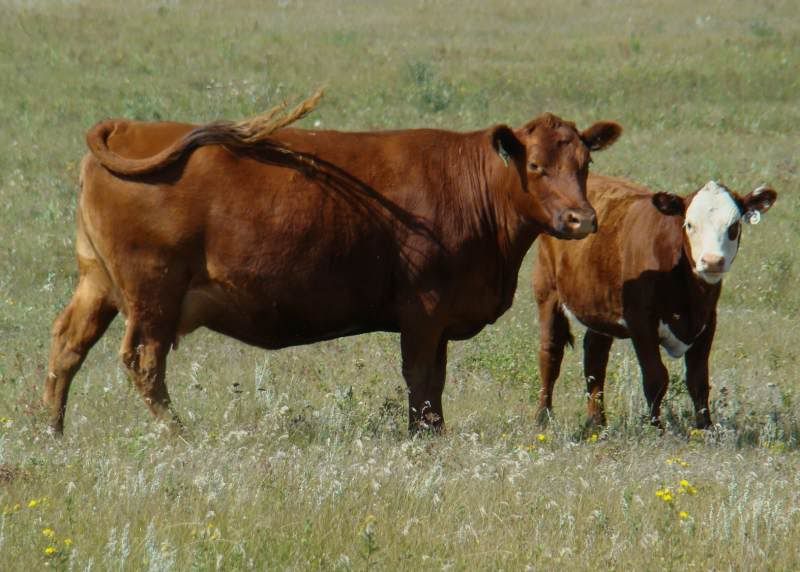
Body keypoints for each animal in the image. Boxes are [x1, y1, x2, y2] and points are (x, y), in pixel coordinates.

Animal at [43, 91, 622, 434]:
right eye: (537, 166)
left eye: (584, 162)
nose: (580, 219)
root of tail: (126, 127)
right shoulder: (423, 309)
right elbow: (421, 380)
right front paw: (424, 439)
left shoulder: (438, 318)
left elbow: (432, 383)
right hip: (153, 292)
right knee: (144, 361)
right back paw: (178, 434)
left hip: (98, 283)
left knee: (67, 344)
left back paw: (52, 429)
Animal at [533, 175, 777, 430]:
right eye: (690, 224)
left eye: (733, 227)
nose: (712, 261)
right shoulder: (641, 321)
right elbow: (656, 377)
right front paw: (656, 428)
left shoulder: (708, 321)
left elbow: (699, 381)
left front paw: (705, 428)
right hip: (547, 289)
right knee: (551, 353)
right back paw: (543, 416)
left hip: (598, 306)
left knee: (594, 357)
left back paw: (596, 422)